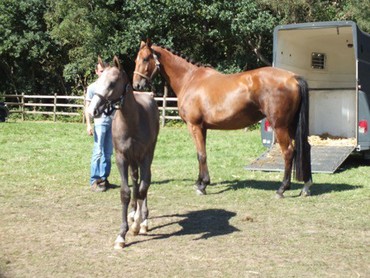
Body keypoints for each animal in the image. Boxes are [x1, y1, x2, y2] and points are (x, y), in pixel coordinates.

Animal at [88, 57, 160, 250]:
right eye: (98, 81)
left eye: (112, 83)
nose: (93, 110)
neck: (132, 122)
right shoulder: (121, 158)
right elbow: (126, 192)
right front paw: (121, 235)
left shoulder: (144, 156)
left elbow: (143, 188)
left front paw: (137, 225)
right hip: (132, 160)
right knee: (135, 180)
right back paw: (133, 213)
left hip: (145, 156)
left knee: (144, 182)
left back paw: (142, 220)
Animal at [133, 40, 312, 199]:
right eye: (136, 59)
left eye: (145, 58)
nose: (137, 85)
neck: (190, 79)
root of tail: (293, 77)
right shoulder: (203, 127)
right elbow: (201, 153)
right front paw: (200, 182)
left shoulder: (194, 126)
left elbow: (201, 154)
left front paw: (203, 186)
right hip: (292, 125)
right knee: (306, 148)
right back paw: (306, 186)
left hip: (280, 126)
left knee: (288, 152)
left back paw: (282, 189)